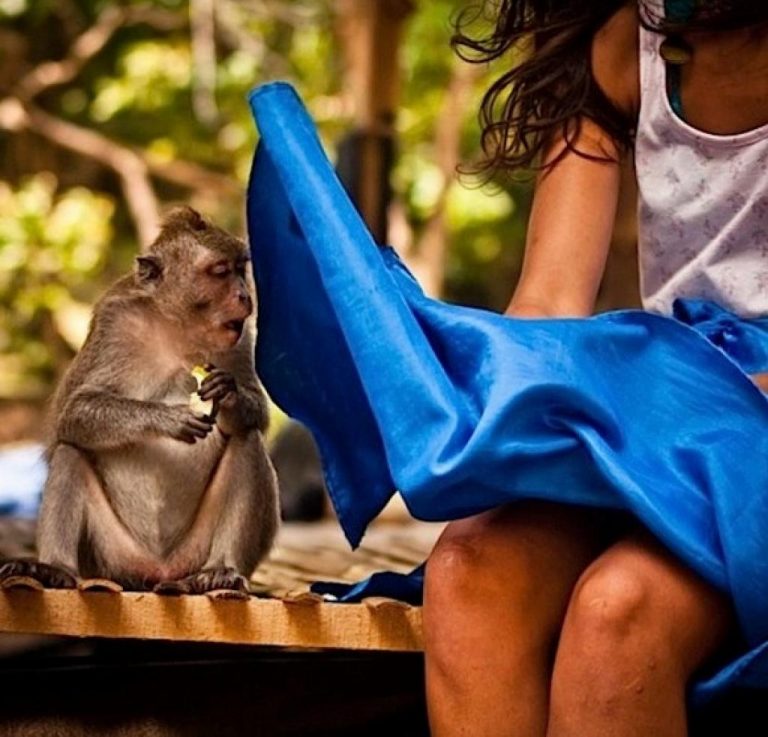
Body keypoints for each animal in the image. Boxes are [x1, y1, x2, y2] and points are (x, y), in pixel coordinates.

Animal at [0, 206, 280, 592]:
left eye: (241, 269)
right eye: (221, 272)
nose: (244, 295)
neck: (177, 330)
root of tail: (159, 571)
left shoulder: (240, 339)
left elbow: (257, 415)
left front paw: (228, 394)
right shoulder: (115, 324)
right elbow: (74, 412)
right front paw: (164, 417)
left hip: (192, 553)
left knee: (246, 441)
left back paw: (221, 569)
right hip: (111, 558)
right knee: (71, 452)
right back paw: (54, 568)